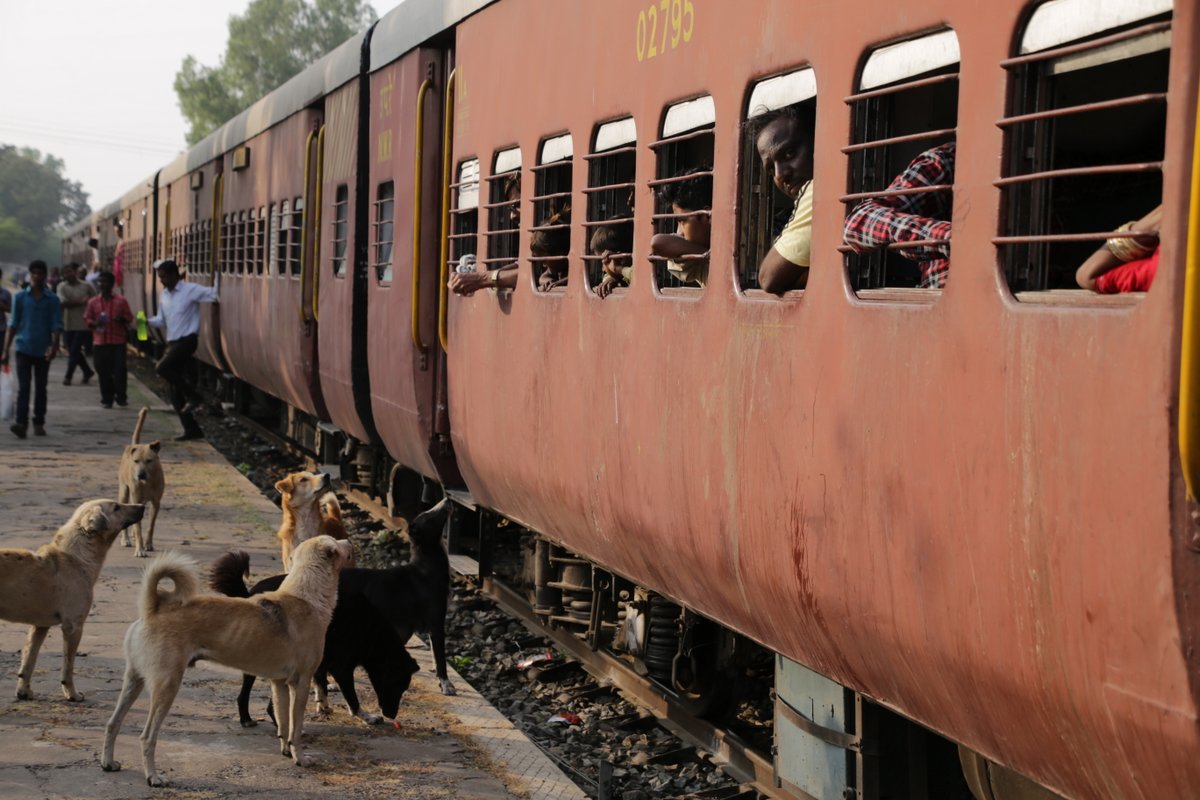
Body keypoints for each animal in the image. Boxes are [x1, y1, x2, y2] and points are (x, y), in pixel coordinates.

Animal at [0, 501, 146, 700]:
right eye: (116, 507)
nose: (143, 505)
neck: (75, 557)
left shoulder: (40, 627)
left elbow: (29, 660)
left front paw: (24, 691)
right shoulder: (74, 627)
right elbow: (68, 667)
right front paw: (72, 694)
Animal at [102, 532, 350, 786]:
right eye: (334, 541)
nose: (349, 541)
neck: (305, 596)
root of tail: (153, 609)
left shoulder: (279, 684)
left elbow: (283, 722)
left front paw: (286, 751)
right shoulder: (300, 684)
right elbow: (296, 728)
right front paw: (299, 757)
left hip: (134, 680)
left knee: (113, 722)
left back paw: (108, 763)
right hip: (166, 686)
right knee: (147, 737)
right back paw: (153, 776)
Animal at [118, 407, 164, 556]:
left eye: (149, 460)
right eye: (136, 461)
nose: (140, 474)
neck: (147, 482)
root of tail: (134, 444)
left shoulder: (156, 502)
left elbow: (151, 525)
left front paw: (148, 544)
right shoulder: (136, 498)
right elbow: (139, 529)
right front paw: (140, 549)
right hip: (124, 491)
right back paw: (126, 539)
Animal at [211, 551, 422, 724]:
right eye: (397, 685)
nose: (391, 715)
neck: (371, 631)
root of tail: (251, 594)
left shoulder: (321, 659)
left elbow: (321, 683)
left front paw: (323, 706)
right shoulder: (342, 668)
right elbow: (352, 698)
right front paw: (366, 717)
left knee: (245, 689)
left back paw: (247, 718)